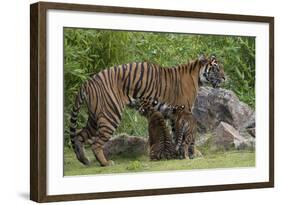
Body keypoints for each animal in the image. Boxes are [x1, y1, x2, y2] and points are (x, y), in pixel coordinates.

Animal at [70, 54, 225, 167]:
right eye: (216, 68)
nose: (224, 77)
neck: (197, 75)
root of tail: (88, 82)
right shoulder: (183, 111)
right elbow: (185, 135)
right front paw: (191, 153)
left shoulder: (174, 115)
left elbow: (177, 135)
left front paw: (179, 152)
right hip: (110, 115)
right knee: (96, 144)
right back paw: (106, 163)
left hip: (95, 118)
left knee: (78, 136)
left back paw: (84, 160)